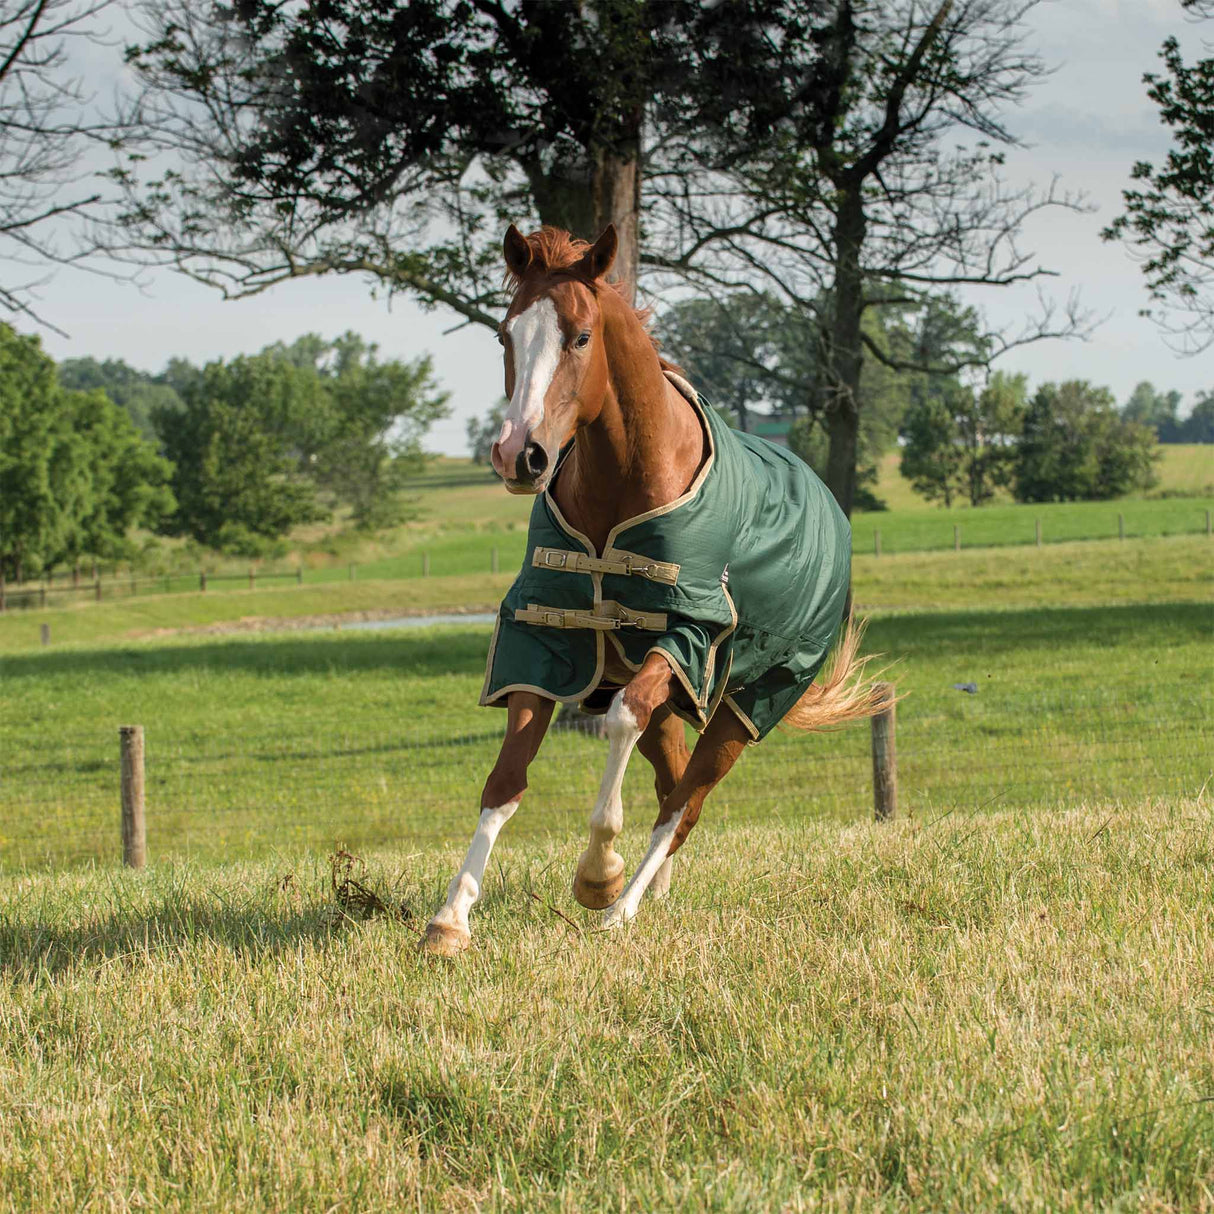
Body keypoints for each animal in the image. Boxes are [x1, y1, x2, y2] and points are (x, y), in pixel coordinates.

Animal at [420, 223, 885, 956]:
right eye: (505, 333)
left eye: (581, 336)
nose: (519, 454)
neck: (624, 484)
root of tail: (829, 509)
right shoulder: (544, 638)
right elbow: (505, 778)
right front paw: (450, 917)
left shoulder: (688, 637)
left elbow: (619, 722)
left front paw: (597, 873)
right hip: (679, 701)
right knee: (671, 781)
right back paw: (654, 890)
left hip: (742, 704)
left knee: (683, 803)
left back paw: (622, 906)